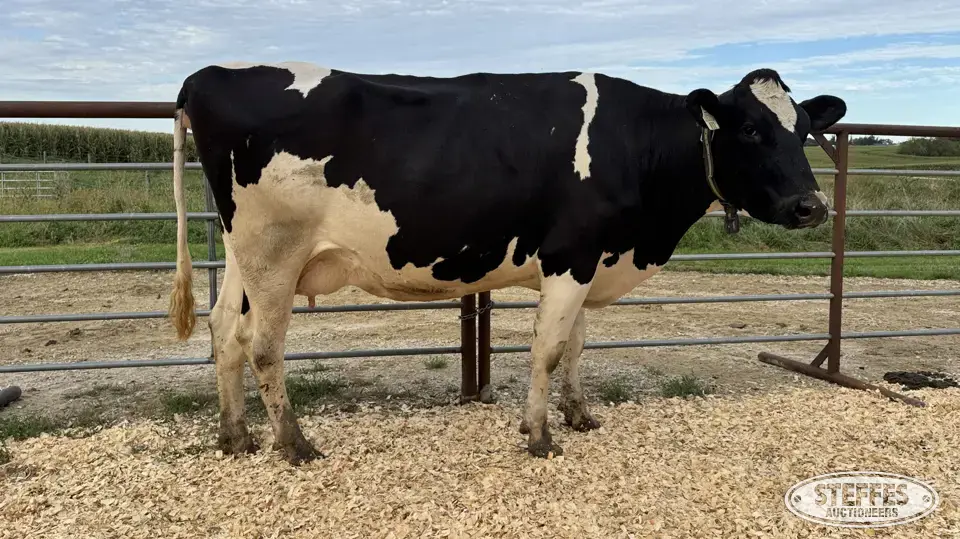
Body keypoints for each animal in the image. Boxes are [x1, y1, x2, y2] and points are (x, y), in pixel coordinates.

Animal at [168, 61, 845, 465]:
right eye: (751, 130)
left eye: (803, 129)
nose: (811, 206)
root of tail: (208, 74)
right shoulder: (571, 256)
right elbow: (547, 347)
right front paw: (539, 435)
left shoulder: (590, 257)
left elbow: (575, 344)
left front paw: (578, 415)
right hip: (274, 252)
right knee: (262, 344)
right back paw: (293, 443)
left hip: (242, 252)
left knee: (223, 329)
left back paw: (235, 435)